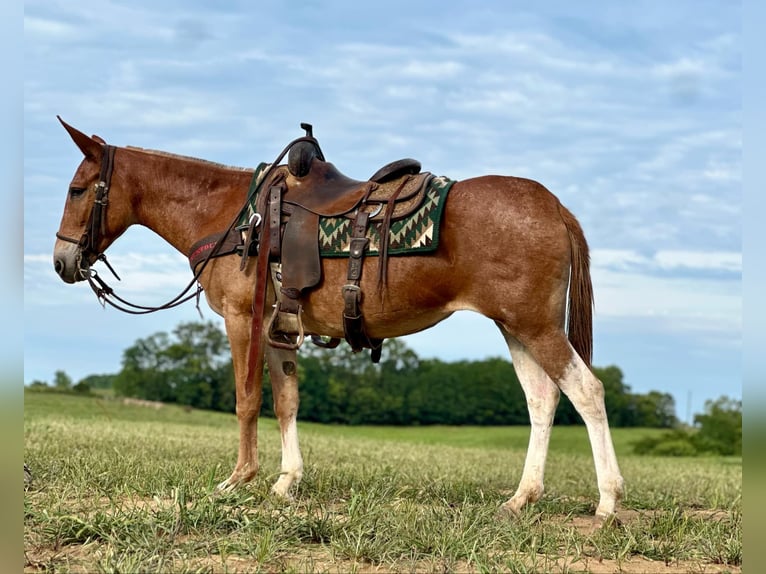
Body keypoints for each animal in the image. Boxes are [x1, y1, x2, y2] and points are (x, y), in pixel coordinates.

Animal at [52, 118, 624, 522]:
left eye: (77, 190)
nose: (61, 262)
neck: (232, 216)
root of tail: (555, 207)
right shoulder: (279, 329)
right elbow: (286, 403)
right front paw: (286, 483)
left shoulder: (241, 319)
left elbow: (245, 399)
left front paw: (238, 480)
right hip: (516, 328)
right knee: (542, 401)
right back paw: (522, 498)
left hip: (536, 327)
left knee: (587, 391)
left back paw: (608, 502)